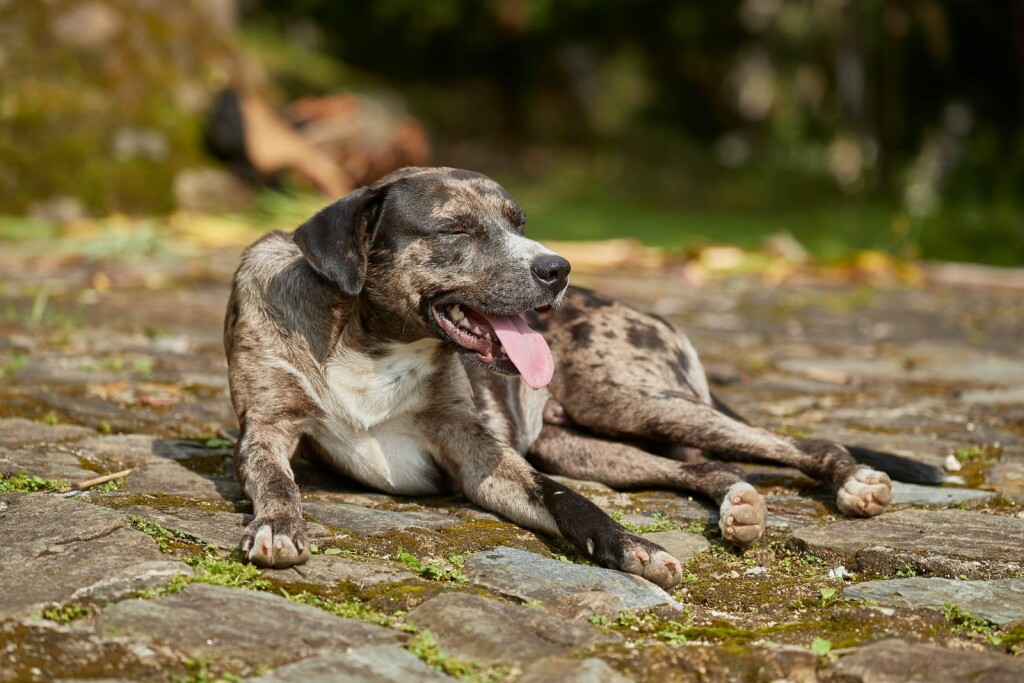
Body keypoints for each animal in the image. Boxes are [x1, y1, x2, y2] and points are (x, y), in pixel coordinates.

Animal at [226, 165, 942, 589]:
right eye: (457, 228)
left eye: (519, 223)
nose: (557, 269)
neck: (370, 338)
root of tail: (649, 311)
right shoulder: (264, 430)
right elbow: (275, 479)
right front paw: (280, 525)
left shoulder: (482, 456)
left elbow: (569, 502)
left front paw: (632, 549)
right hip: (589, 444)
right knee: (702, 467)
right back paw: (737, 504)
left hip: (633, 401)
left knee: (796, 441)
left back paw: (852, 481)